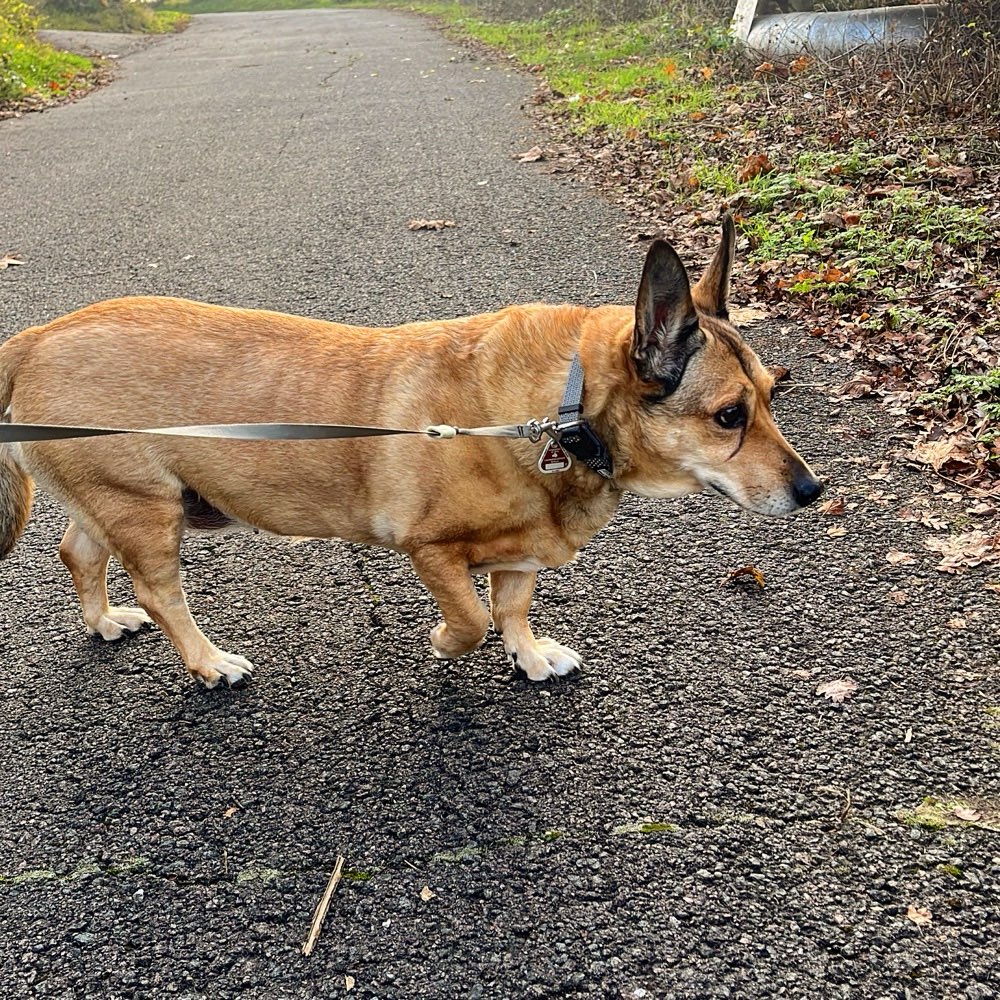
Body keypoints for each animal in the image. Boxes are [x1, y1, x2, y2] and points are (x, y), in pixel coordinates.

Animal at [0, 219, 820, 688]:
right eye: (728, 417)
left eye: (773, 394)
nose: (813, 492)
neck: (560, 409)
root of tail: (36, 337)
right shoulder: (433, 553)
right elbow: (473, 618)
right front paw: (446, 643)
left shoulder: (521, 555)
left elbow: (512, 608)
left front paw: (530, 656)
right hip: (149, 513)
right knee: (160, 593)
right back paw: (207, 663)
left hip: (115, 503)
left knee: (79, 552)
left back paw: (103, 622)